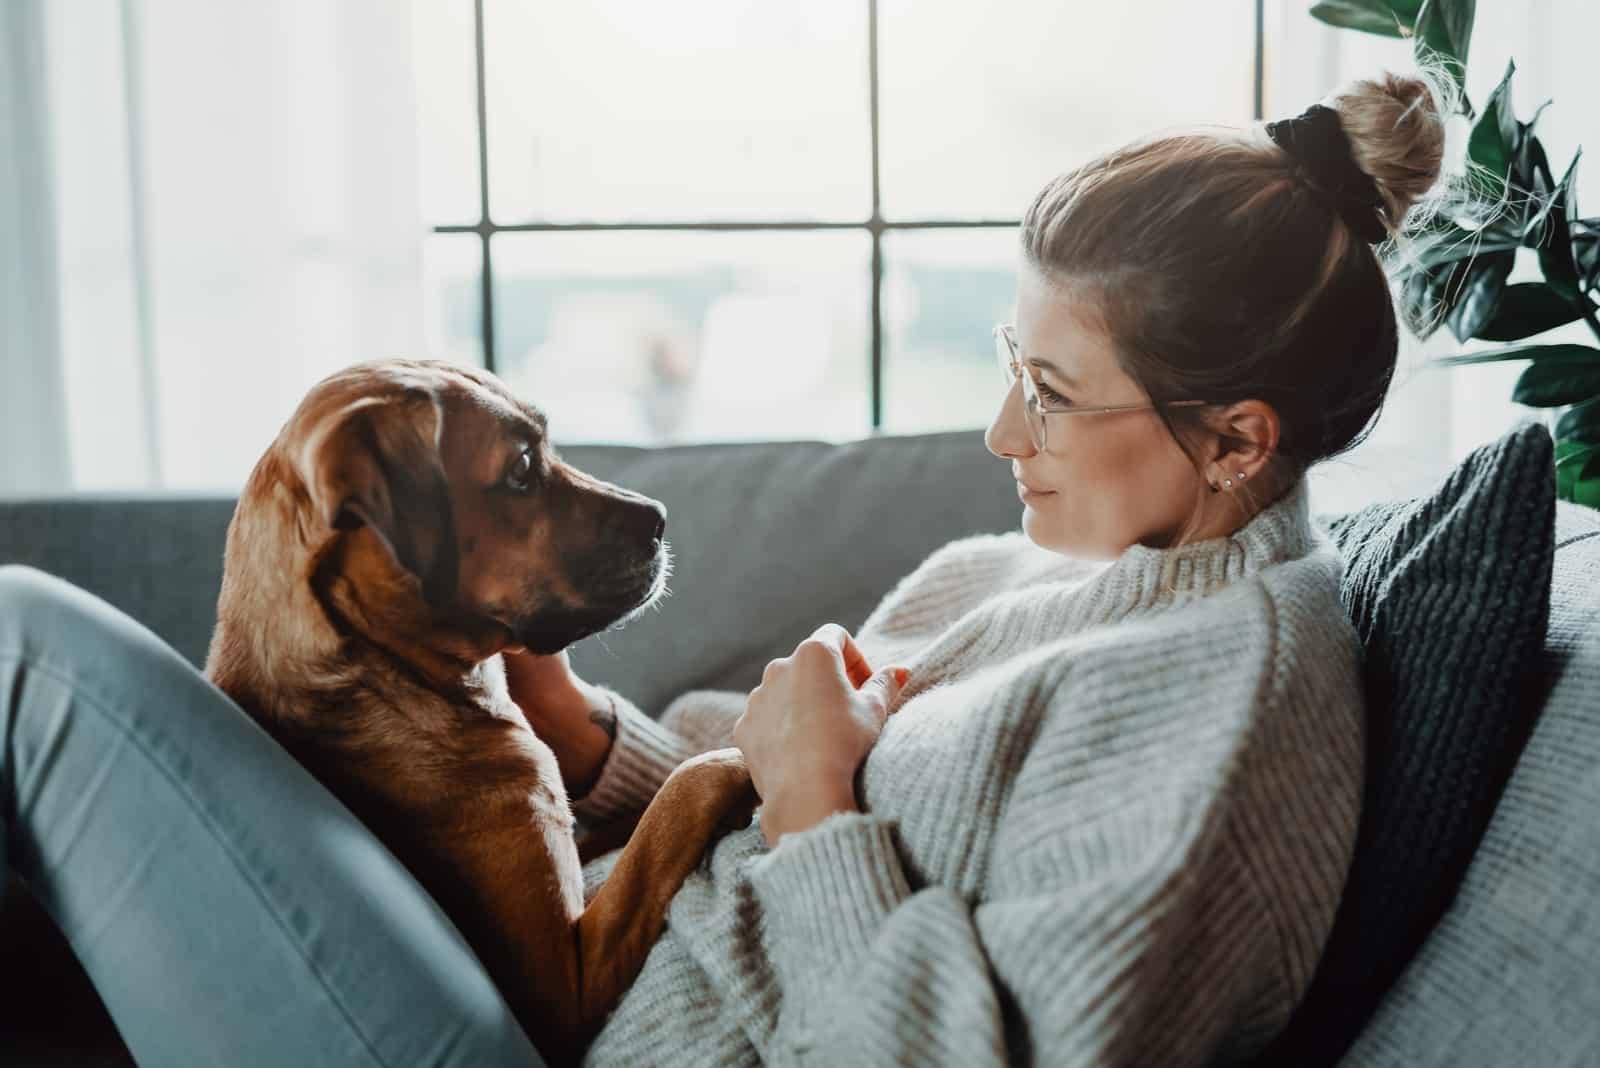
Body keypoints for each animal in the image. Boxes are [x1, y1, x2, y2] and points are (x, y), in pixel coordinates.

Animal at [204, 362, 755, 1061]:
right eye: (520, 468)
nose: (660, 518)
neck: (389, 676)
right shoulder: (566, 984)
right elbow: (679, 797)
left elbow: (635, 820)